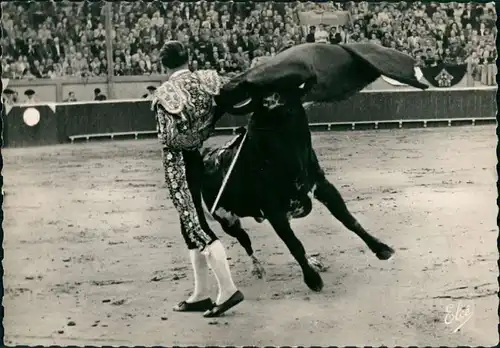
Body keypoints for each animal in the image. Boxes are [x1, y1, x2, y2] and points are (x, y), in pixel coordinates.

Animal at [197, 44, 428, 294]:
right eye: (263, 102)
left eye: (289, 98)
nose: (274, 103)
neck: (288, 156)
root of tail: (206, 156)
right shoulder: (273, 210)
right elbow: (294, 244)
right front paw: (312, 280)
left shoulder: (322, 185)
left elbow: (349, 220)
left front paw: (381, 248)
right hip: (226, 219)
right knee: (245, 241)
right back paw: (259, 269)